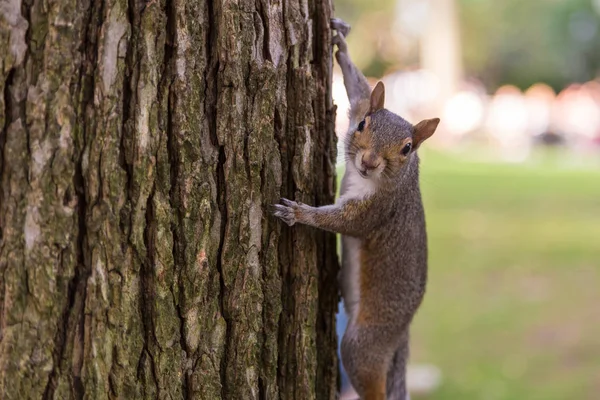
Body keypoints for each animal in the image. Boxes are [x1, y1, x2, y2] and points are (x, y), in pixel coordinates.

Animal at [274, 18, 440, 400]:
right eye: (364, 125)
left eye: (407, 148)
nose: (369, 161)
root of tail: (401, 334)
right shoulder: (360, 105)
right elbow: (357, 89)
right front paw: (341, 42)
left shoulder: (378, 210)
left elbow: (343, 222)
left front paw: (299, 213)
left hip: (363, 343)